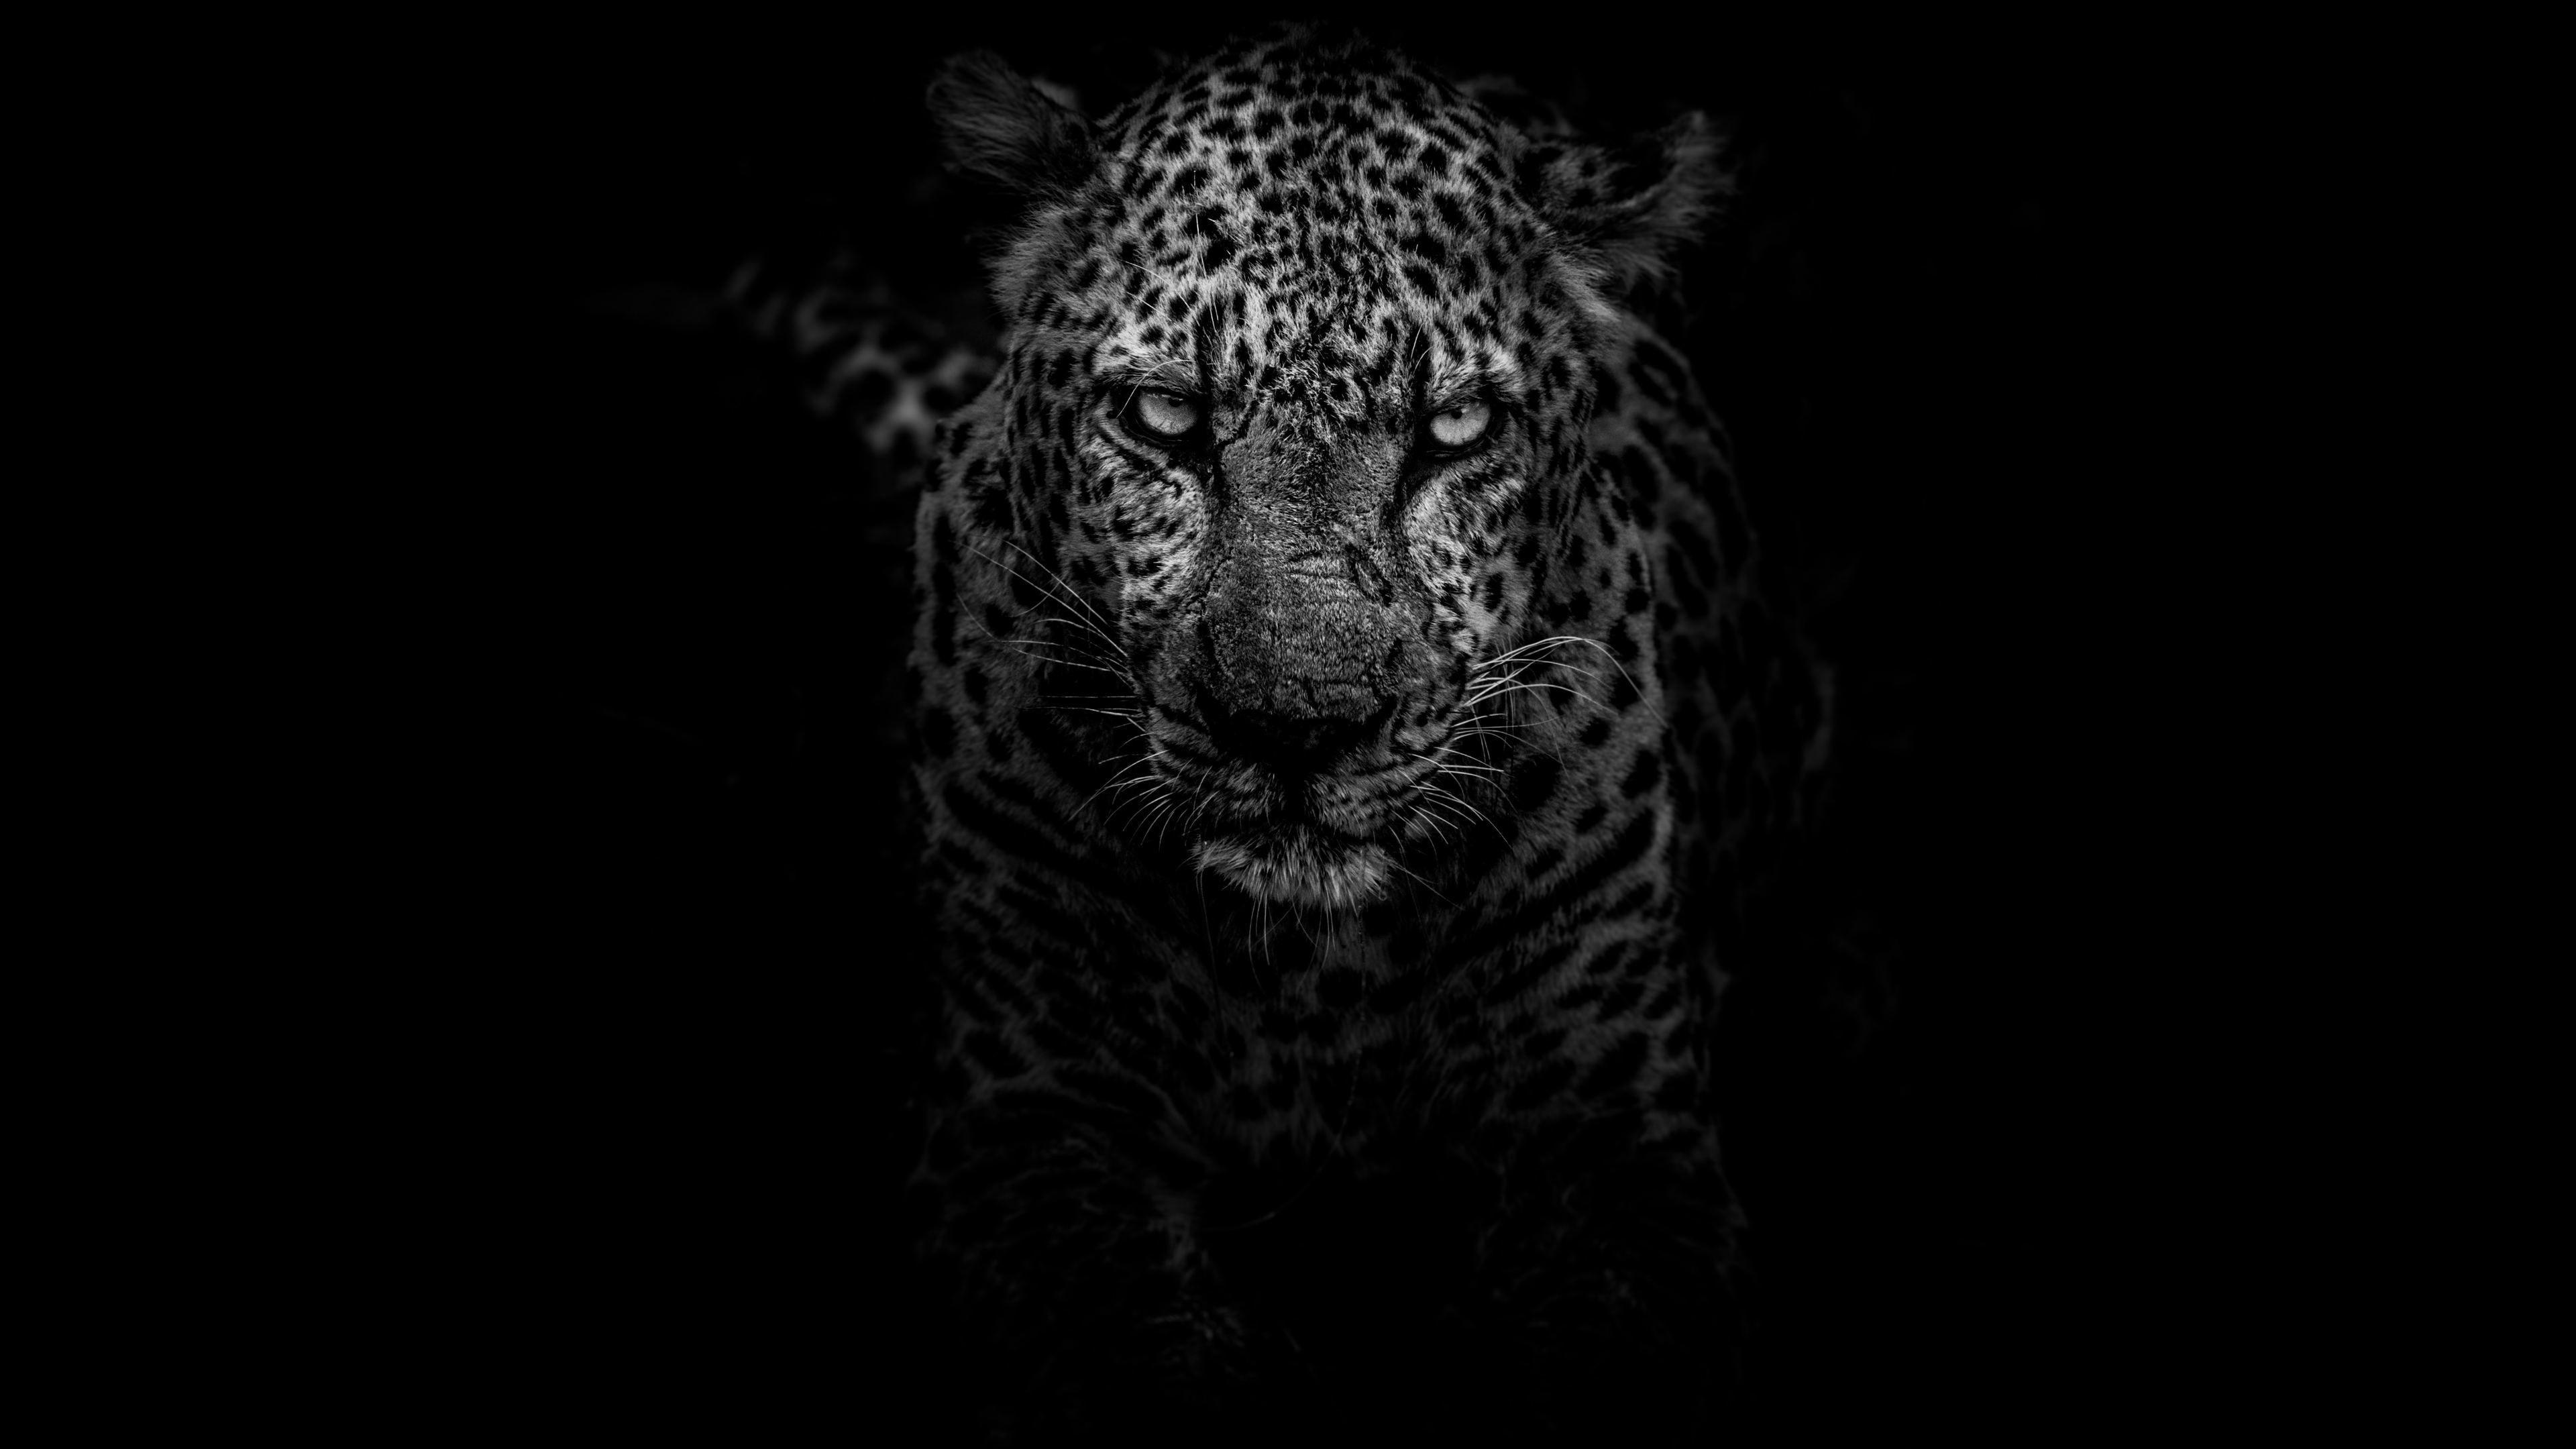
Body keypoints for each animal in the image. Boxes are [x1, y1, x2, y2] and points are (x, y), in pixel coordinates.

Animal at [758, 24, 1836, 1441]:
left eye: (1455, 429)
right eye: (1164, 419)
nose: (1296, 730)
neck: (1307, 973)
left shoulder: (1616, 1150)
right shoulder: (1025, 1124)